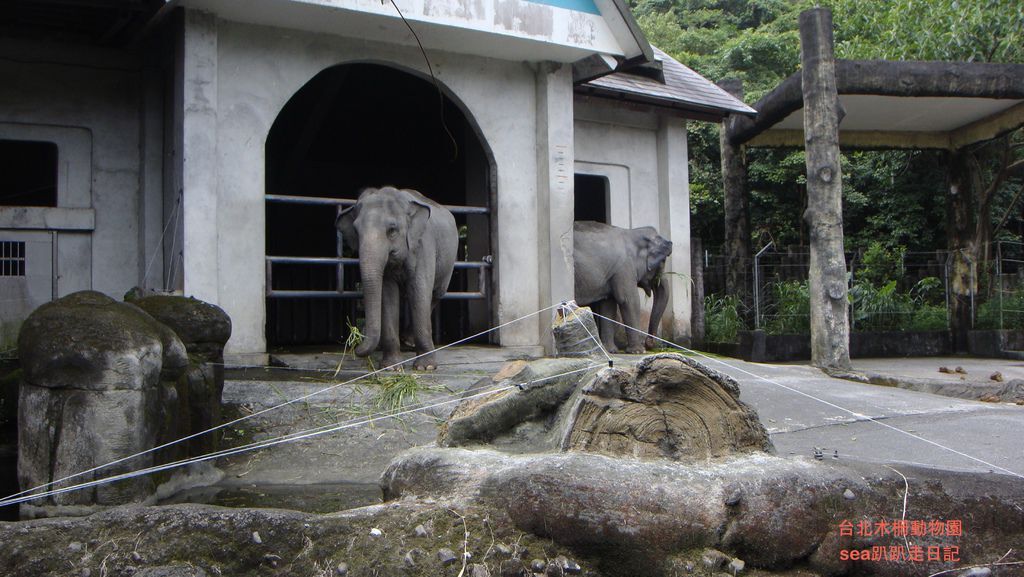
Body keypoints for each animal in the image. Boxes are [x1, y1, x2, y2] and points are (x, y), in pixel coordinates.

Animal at [335, 187, 456, 373]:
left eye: (392, 230)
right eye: (356, 232)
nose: (354, 346)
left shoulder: (423, 245)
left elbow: (420, 291)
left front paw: (425, 367)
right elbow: (388, 295)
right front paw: (391, 368)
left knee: (435, 295)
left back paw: (409, 341)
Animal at [577, 221, 671, 354]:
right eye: (662, 261)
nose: (649, 343)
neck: (631, 233)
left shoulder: (613, 273)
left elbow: (608, 306)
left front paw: (610, 350)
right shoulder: (624, 267)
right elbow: (629, 301)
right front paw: (638, 351)